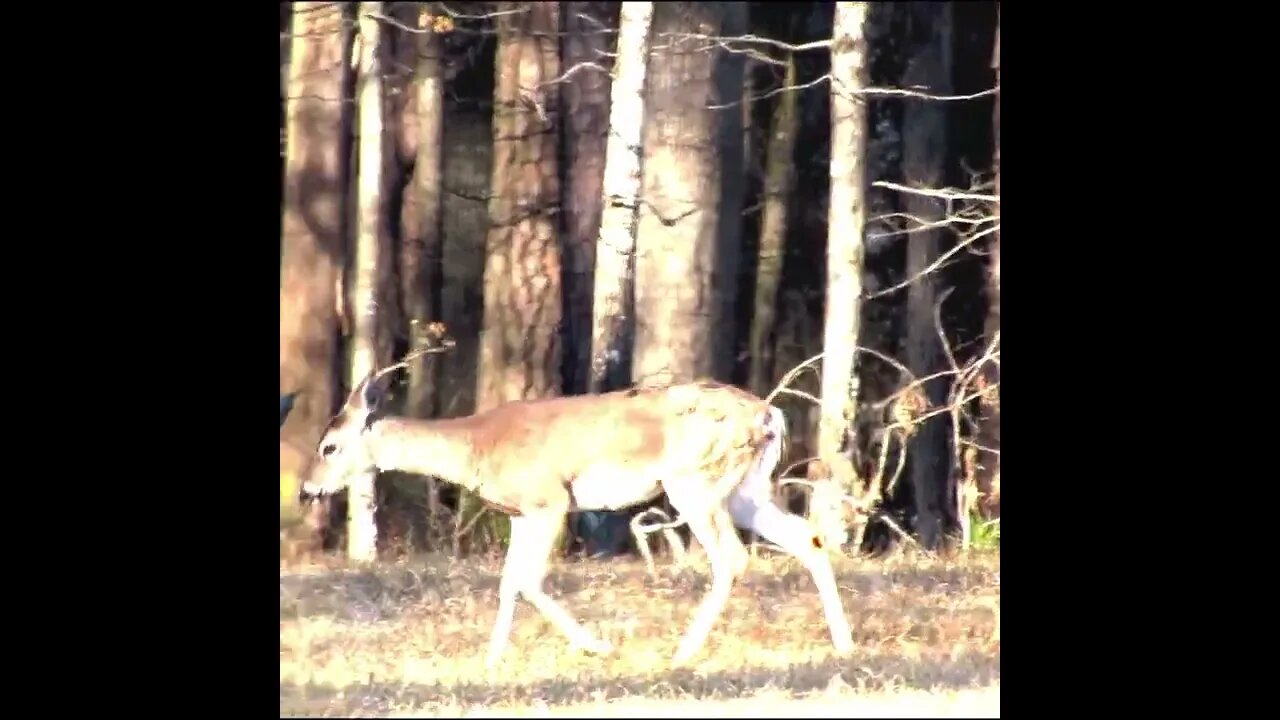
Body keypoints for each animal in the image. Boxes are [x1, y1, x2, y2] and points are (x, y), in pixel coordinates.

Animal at [303, 351, 855, 666]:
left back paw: (681, 655)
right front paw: (492, 662)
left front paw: (598, 647)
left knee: (733, 558)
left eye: (329, 446)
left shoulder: (549, 499)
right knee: (808, 537)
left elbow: (528, 580)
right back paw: (844, 644)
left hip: (695, 482)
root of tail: (770, 413)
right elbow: (508, 581)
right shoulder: (519, 513)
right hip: (744, 489)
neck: (478, 446)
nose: (307, 489)